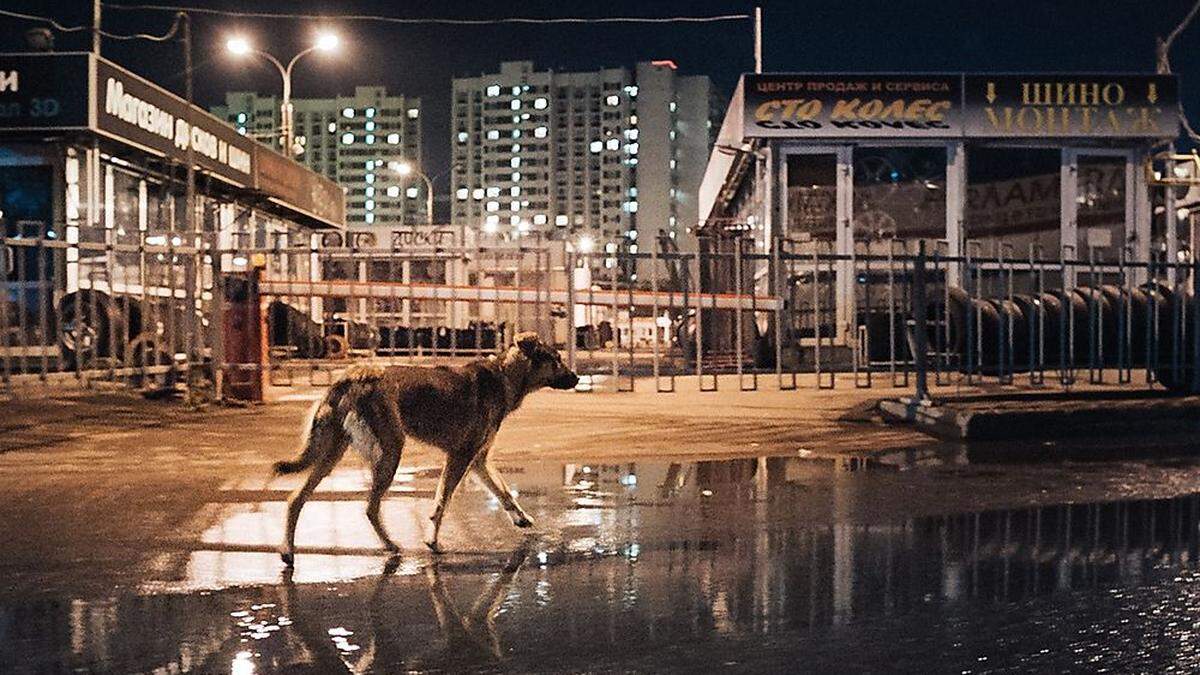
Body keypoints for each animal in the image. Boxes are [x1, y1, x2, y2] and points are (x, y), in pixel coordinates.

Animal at [271, 331, 576, 562]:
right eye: (557, 359)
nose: (576, 378)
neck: (504, 376)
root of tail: (351, 378)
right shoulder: (460, 457)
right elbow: (442, 501)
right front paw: (432, 541)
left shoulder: (478, 461)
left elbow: (504, 492)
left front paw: (521, 518)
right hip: (390, 451)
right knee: (370, 507)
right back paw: (390, 546)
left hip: (331, 455)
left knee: (296, 498)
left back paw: (288, 550)